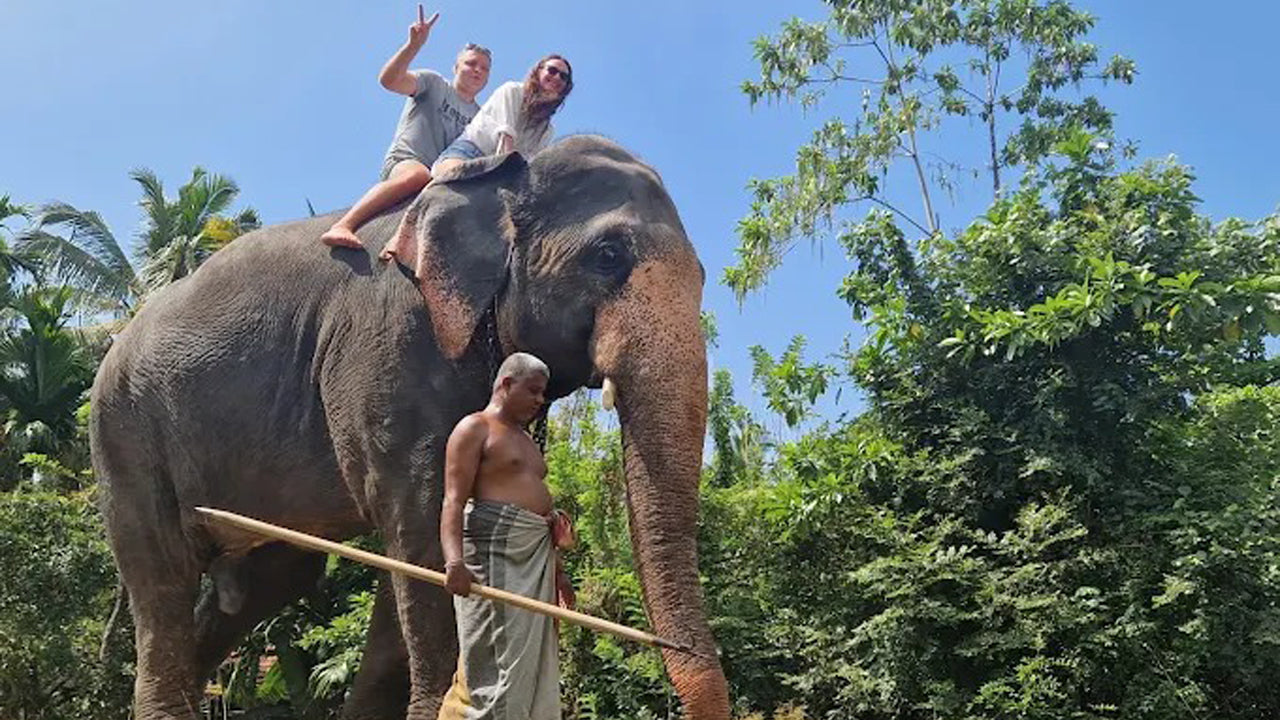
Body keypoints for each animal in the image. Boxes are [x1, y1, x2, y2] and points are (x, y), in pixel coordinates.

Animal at [91, 135, 731, 720]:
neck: (500, 182)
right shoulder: (388, 344)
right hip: (125, 432)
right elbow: (420, 520)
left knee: (265, 583)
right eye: (608, 255)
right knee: (164, 578)